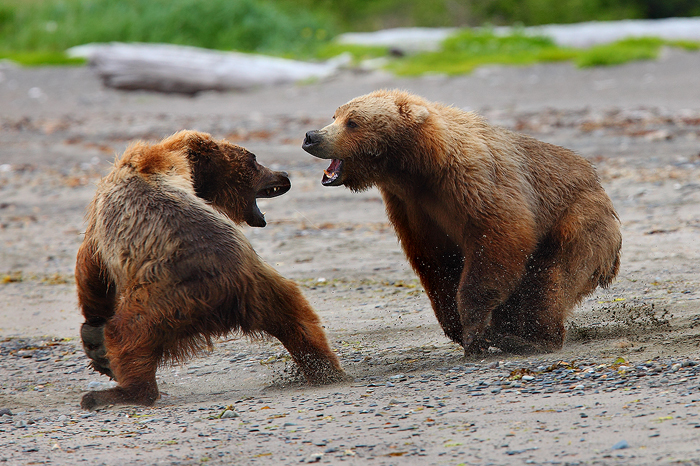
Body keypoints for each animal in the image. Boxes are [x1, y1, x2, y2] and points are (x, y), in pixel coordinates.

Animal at [76, 130, 346, 411]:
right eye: (255, 159)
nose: (283, 175)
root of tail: (228, 288)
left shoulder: (104, 223)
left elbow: (90, 268)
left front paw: (93, 328)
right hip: (265, 289)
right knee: (299, 321)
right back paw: (326, 370)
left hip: (161, 296)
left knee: (127, 333)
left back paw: (113, 391)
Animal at [302, 89, 622, 354]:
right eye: (335, 115)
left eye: (353, 121)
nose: (311, 136)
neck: (418, 166)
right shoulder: (411, 208)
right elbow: (437, 264)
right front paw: (460, 326)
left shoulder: (473, 181)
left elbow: (499, 239)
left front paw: (474, 329)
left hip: (580, 222)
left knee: (552, 279)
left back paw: (532, 338)